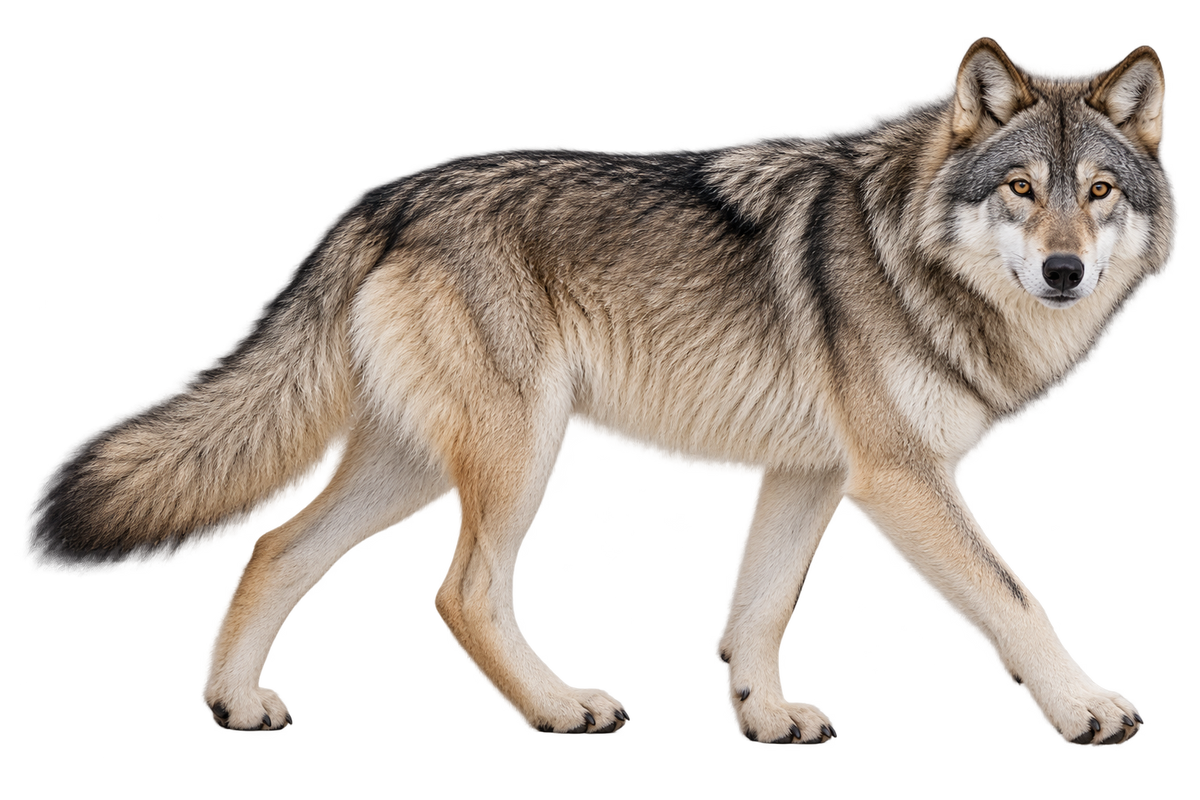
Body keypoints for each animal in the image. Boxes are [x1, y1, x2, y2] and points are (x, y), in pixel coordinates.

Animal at [17, 37, 1172, 748]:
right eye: (1021, 189)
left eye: (1098, 192)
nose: (1064, 270)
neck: (918, 261)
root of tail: (387, 202)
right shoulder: (902, 482)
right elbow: (1016, 600)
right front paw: (1088, 710)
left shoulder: (804, 479)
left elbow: (755, 615)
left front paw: (763, 720)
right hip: (525, 455)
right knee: (458, 593)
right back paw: (559, 708)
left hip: (409, 473)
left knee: (268, 552)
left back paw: (236, 703)